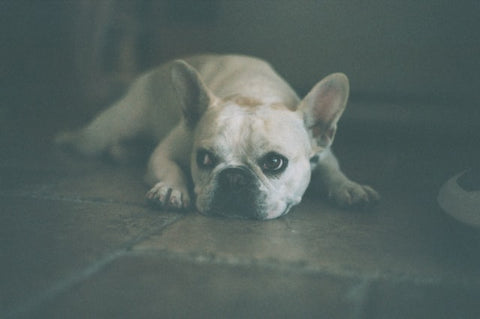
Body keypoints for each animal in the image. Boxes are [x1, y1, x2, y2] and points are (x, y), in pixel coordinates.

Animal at [55, 55, 378, 220]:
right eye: (204, 158)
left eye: (275, 162)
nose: (234, 176)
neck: (253, 94)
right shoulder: (166, 151)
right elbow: (169, 166)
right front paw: (172, 189)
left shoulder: (324, 153)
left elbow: (333, 172)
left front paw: (350, 188)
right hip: (106, 130)